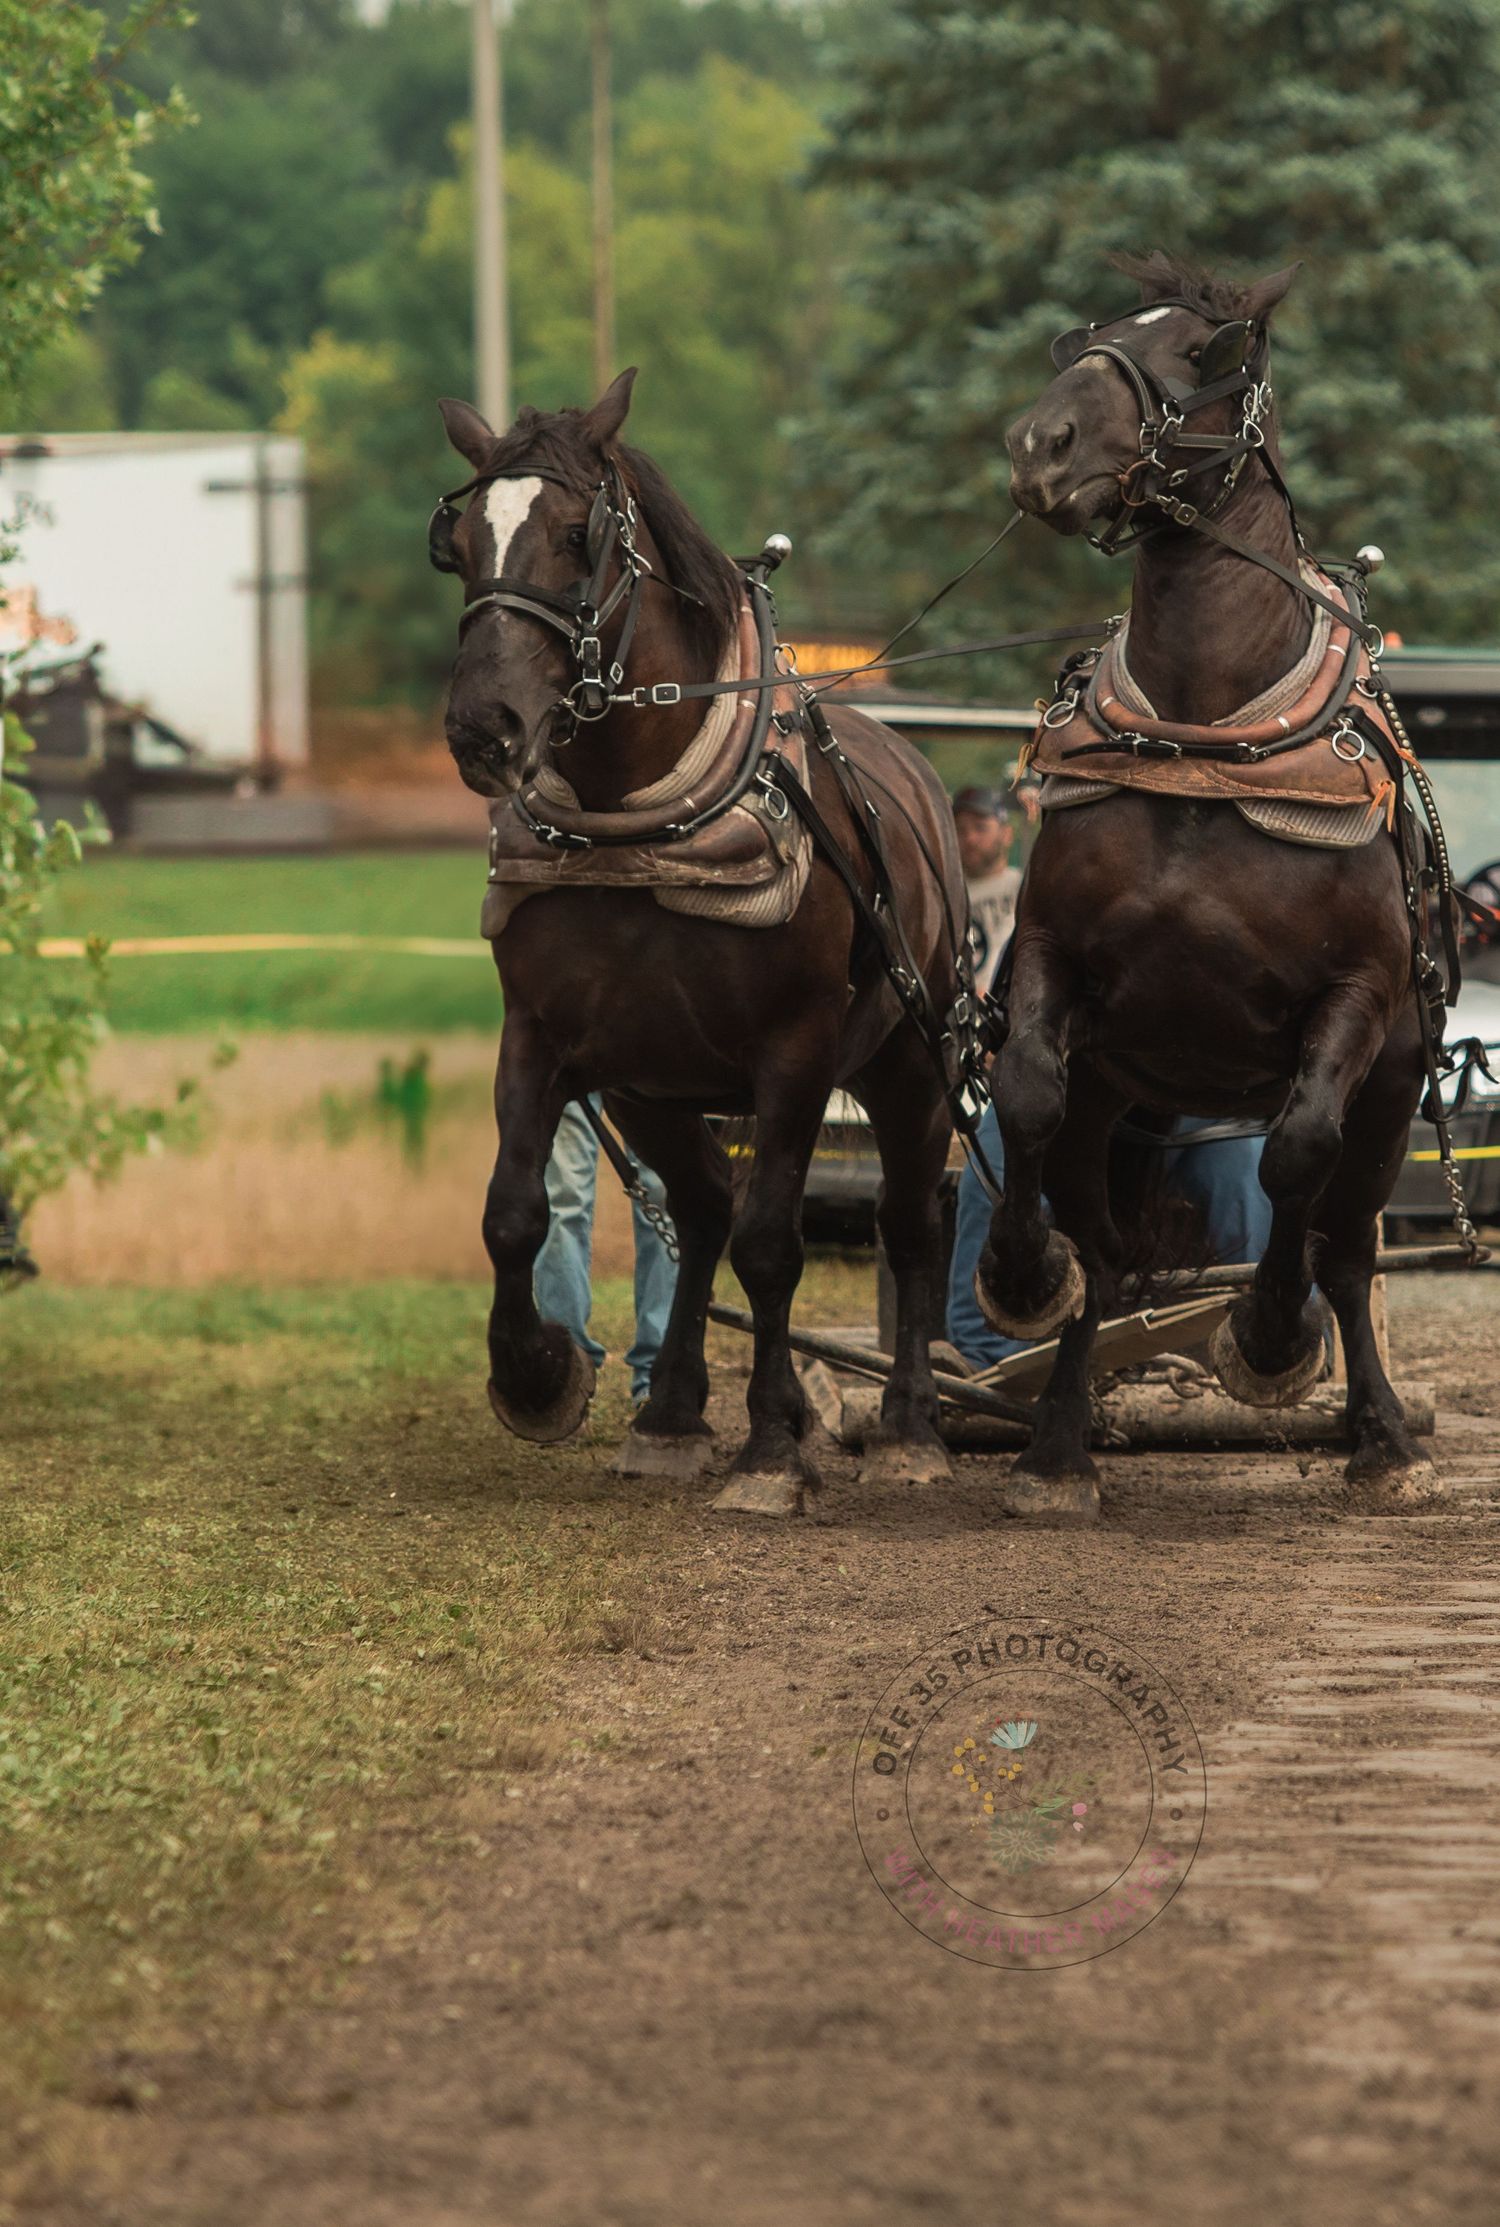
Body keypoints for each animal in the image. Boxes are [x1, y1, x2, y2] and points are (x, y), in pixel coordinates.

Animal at [431, 369, 969, 1516]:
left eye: (579, 535)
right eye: (460, 543)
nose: (484, 727)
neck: (639, 824)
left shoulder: (796, 1054)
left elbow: (775, 1247)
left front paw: (769, 1451)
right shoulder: (544, 1036)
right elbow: (512, 1213)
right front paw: (535, 1374)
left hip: (911, 1062)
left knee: (908, 1222)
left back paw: (908, 1425)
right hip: (655, 1084)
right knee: (703, 1209)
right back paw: (674, 1415)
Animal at [977, 250, 1449, 1524]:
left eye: (1205, 352)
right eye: (1081, 341)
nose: (1037, 443)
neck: (1204, 736)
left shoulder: (1355, 1001)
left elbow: (1294, 1160)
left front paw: (1271, 1336)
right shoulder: (1053, 960)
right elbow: (1027, 1100)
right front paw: (1021, 1273)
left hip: (1395, 1090)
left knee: (1347, 1242)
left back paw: (1381, 1436)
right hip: (1120, 1093)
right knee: (1109, 1246)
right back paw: (1055, 1445)